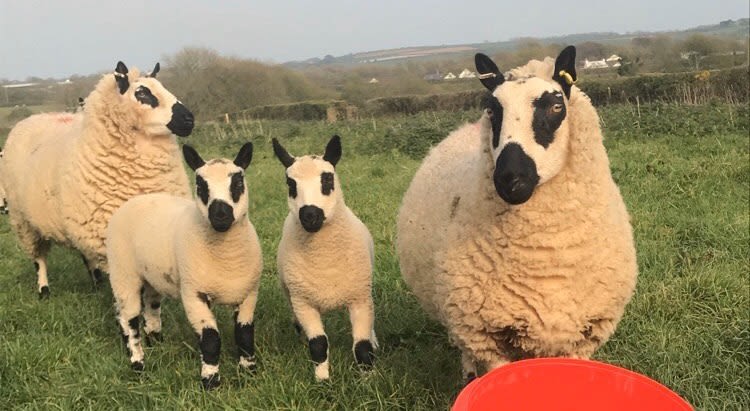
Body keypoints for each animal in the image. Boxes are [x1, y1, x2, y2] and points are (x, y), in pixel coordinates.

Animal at [0, 61, 194, 297]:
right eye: (141, 93)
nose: (189, 120)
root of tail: (35, 117)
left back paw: (96, 280)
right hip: (23, 220)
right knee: (39, 258)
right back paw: (44, 289)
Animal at [106, 143, 262, 390]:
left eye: (238, 183)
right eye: (200, 185)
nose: (220, 215)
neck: (226, 259)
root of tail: (132, 201)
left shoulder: (248, 294)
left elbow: (245, 334)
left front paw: (249, 372)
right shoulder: (193, 294)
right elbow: (211, 340)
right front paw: (210, 382)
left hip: (152, 276)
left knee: (151, 309)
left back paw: (156, 343)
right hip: (123, 272)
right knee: (128, 319)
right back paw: (138, 362)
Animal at [272, 135, 377, 381]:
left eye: (327, 179)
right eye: (290, 184)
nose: (310, 215)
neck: (324, 261)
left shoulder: (359, 298)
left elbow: (362, 346)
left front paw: (369, 379)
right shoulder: (303, 302)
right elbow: (318, 344)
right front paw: (322, 379)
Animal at [396, 46, 638, 381]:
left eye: (556, 106)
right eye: (492, 110)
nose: (509, 177)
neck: (546, 254)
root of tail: (462, 129)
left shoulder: (584, 334)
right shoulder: (486, 334)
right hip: (457, 311)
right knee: (465, 351)